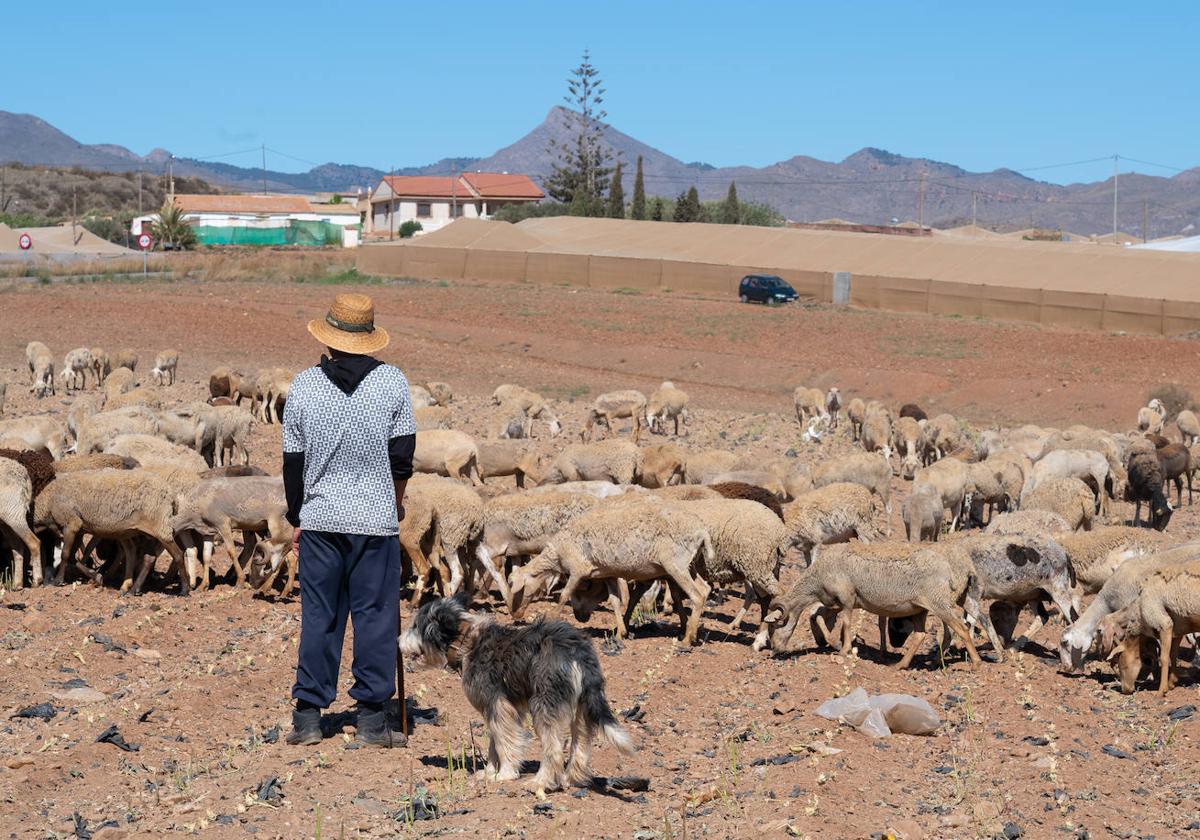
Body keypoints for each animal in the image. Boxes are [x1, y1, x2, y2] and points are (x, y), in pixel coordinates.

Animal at [508, 499, 710, 643]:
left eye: (519, 587)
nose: (514, 614)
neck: (557, 552)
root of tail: (702, 532)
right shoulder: (609, 574)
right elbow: (614, 601)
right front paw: (620, 633)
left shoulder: (577, 570)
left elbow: (564, 596)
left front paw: (550, 620)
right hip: (688, 565)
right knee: (705, 589)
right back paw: (691, 632)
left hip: (676, 565)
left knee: (697, 596)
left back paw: (688, 638)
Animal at [763, 544, 979, 667]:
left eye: (774, 626)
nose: (774, 650)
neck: (817, 578)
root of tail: (948, 568)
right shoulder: (835, 602)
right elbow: (818, 616)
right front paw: (835, 643)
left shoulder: (847, 598)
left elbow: (846, 624)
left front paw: (843, 650)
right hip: (920, 608)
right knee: (920, 634)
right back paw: (900, 665)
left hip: (938, 602)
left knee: (961, 628)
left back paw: (975, 663)